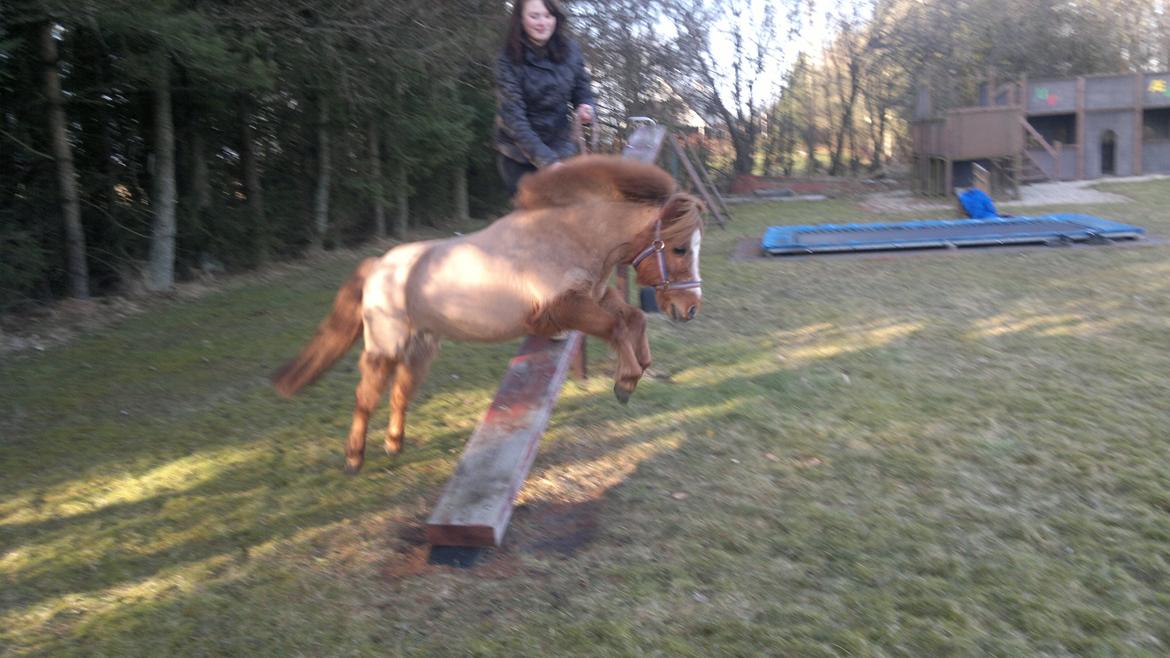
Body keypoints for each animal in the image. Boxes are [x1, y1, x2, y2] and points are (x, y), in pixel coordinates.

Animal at [273, 153, 702, 470]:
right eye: (680, 248)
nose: (690, 308)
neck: (570, 234)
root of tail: (378, 266)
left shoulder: (594, 295)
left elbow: (634, 318)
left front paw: (643, 363)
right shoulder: (566, 305)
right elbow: (615, 327)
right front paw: (626, 381)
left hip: (422, 348)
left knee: (399, 393)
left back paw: (394, 444)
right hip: (384, 346)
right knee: (366, 396)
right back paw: (354, 458)